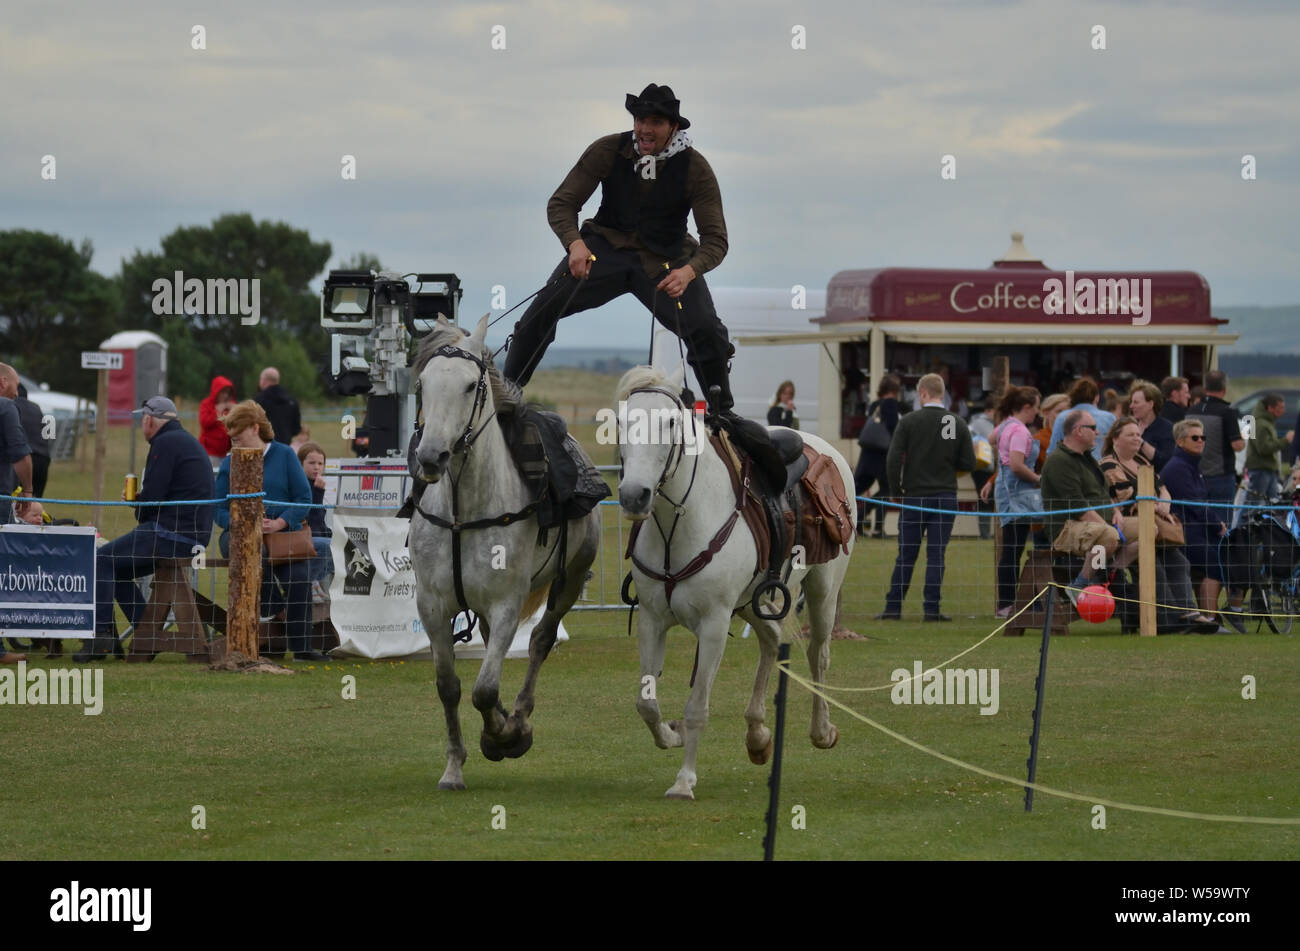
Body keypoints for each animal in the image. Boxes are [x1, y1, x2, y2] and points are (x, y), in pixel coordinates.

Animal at [408, 315, 600, 789]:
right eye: (423, 383)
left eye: (469, 385)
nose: (431, 456)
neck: (463, 512)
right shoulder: (432, 607)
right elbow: (450, 686)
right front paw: (454, 766)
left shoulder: (507, 604)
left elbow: (484, 689)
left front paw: (505, 735)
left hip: (569, 581)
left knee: (540, 642)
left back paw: (519, 715)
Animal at [616, 368, 857, 800]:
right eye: (621, 422)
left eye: (670, 422)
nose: (633, 495)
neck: (681, 523)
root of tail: (827, 450)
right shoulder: (652, 620)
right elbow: (646, 702)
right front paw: (671, 735)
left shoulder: (713, 624)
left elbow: (697, 707)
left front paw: (684, 780)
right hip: (752, 603)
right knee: (771, 641)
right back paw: (758, 735)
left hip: (822, 591)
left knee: (819, 653)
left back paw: (822, 730)